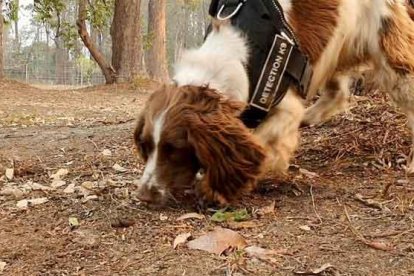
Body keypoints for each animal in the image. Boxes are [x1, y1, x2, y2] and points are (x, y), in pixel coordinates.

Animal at [134, 0, 414, 205]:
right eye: (146, 145)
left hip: (387, 45)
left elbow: (260, 141)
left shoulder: (284, 108)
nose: (144, 196)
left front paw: (213, 188)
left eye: (174, 148)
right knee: (339, 93)